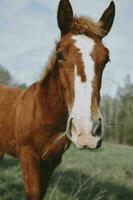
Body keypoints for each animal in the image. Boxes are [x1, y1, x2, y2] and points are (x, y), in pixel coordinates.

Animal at [0, 0, 115, 199]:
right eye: (59, 54)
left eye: (106, 59)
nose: (86, 131)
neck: (43, 114)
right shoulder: (28, 155)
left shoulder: (51, 162)